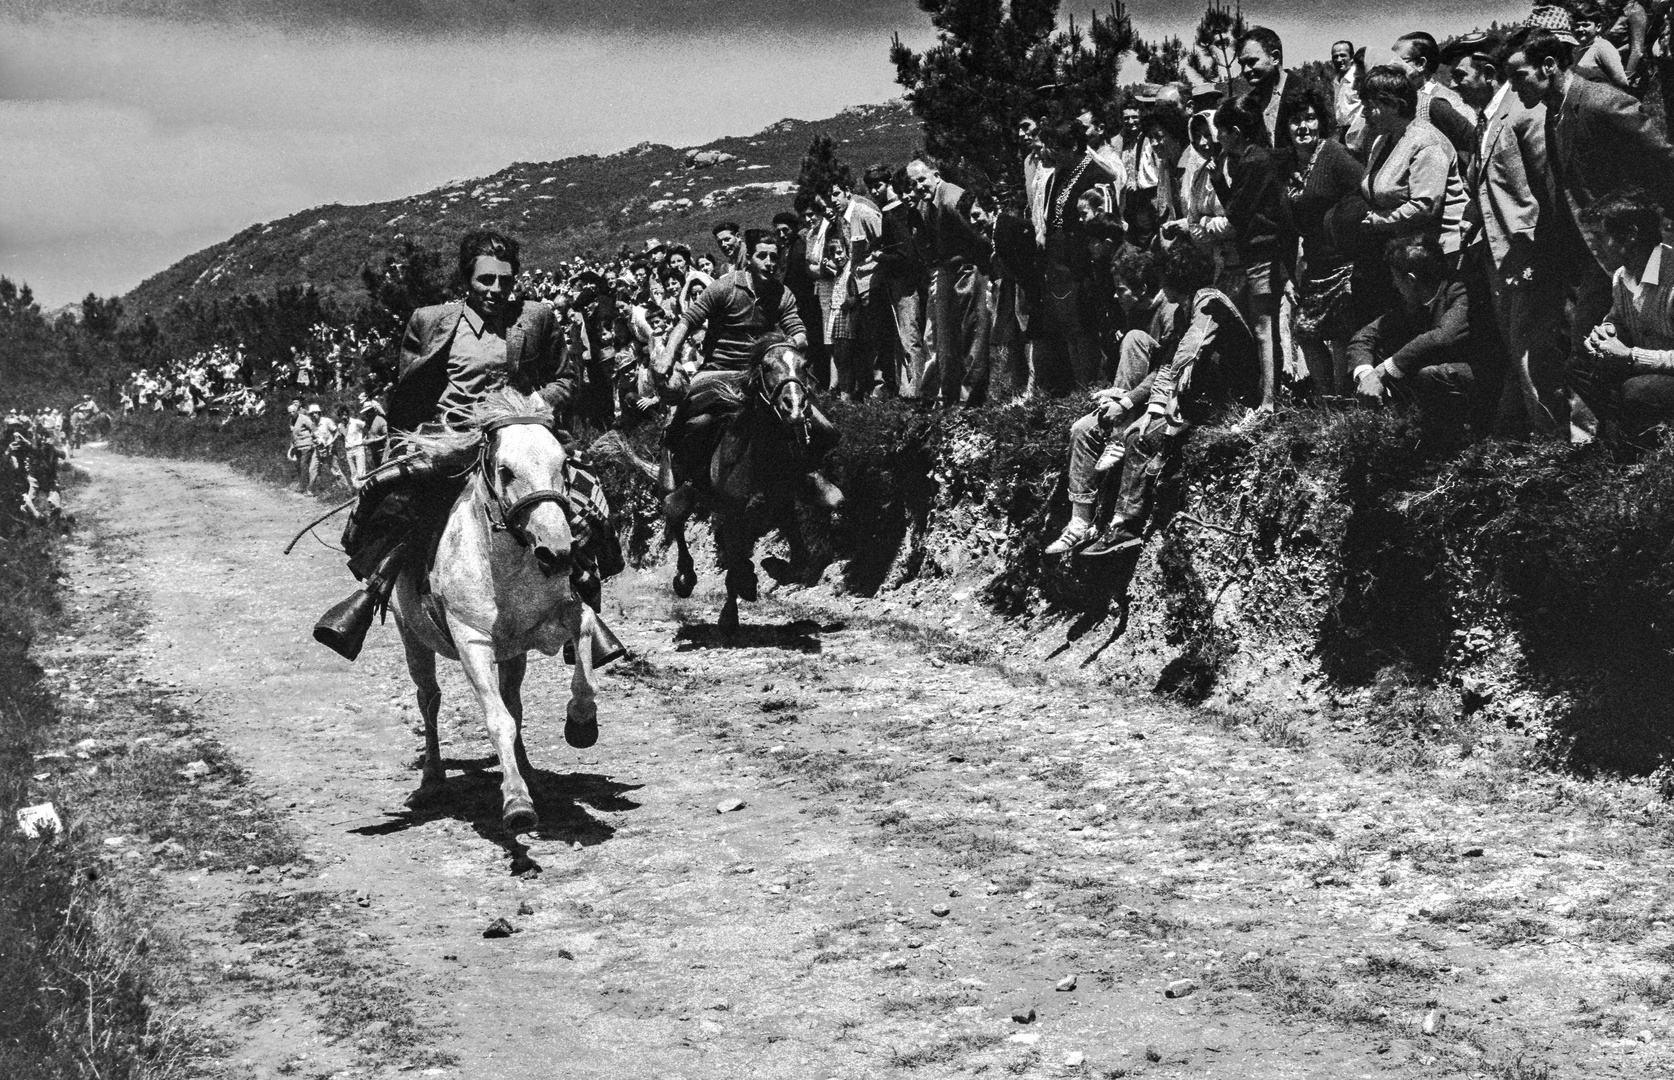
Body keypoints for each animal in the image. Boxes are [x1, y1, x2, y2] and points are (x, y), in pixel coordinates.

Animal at [388, 390, 605, 833]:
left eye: (562, 465)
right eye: (505, 470)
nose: (558, 552)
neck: (504, 566)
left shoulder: (560, 618)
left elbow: (584, 667)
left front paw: (581, 722)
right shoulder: (472, 642)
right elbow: (498, 719)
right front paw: (516, 802)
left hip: (513, 655)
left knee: (513, 700)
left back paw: (526, 769)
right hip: (412, 639)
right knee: (428, 699)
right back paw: (432, 781)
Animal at [669, 333, 843, 626]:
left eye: (804, 365)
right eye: (768, 367)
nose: (795, 407)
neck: (760, 459)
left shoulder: (784, 508)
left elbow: (797, 560)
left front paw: (765, 571)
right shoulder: (732, 513)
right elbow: (734, 559)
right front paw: (731, 611)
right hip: (682, 492)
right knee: (676, 516)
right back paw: (685, 579)